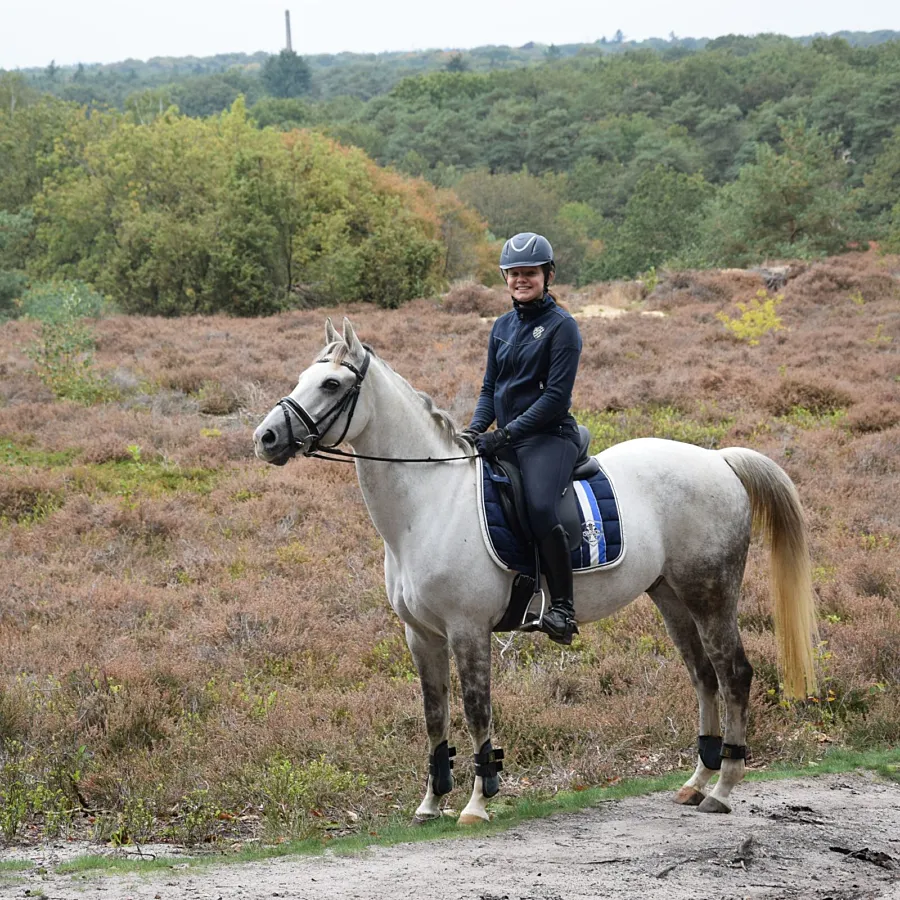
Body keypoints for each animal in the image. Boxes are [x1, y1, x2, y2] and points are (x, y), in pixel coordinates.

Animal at [251, 320, 816, 828]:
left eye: (331, 384)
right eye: (303, 376)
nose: (266, 437)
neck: (430, 502)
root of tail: (718, 460)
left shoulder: (468, 630)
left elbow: (477, 710)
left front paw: (477, 803)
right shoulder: (421, 635)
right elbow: (435, 714)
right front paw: (430, 804)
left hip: (710, 594)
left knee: (733, 673)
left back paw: (723, 789)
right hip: (671, 597)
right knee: (703, 676)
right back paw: (697, 782)